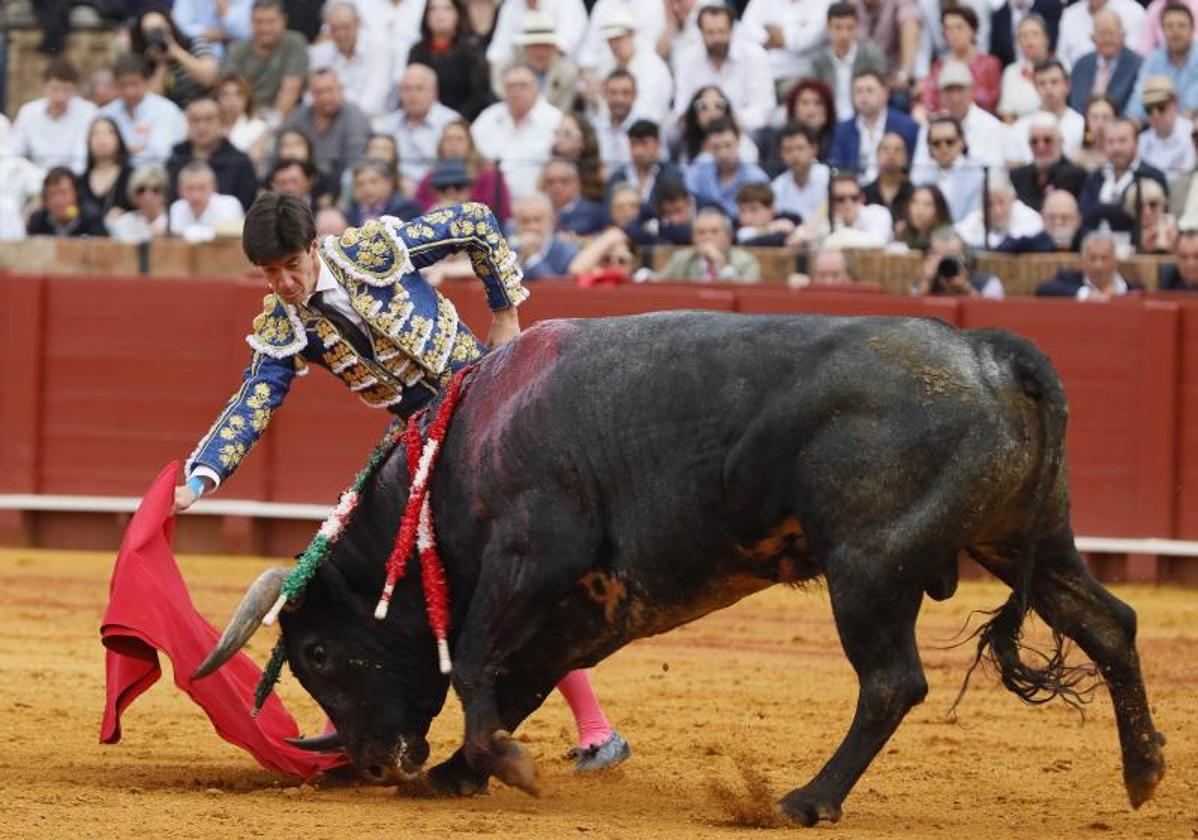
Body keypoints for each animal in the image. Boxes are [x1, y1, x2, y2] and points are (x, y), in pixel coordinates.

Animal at [191, 309, 1164, 824]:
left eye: (318, 654)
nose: (375, 762)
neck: (460, 453)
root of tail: (992, 349)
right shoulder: (589, 606)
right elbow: (509, 680)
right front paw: (471, 768)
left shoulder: (532, 558)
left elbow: (470, 659)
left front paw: (499, 767)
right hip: (1022, 538)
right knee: (1109, 622)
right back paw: (1145, 771)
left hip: (868, 566)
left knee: (893, 682)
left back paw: (806, 800)